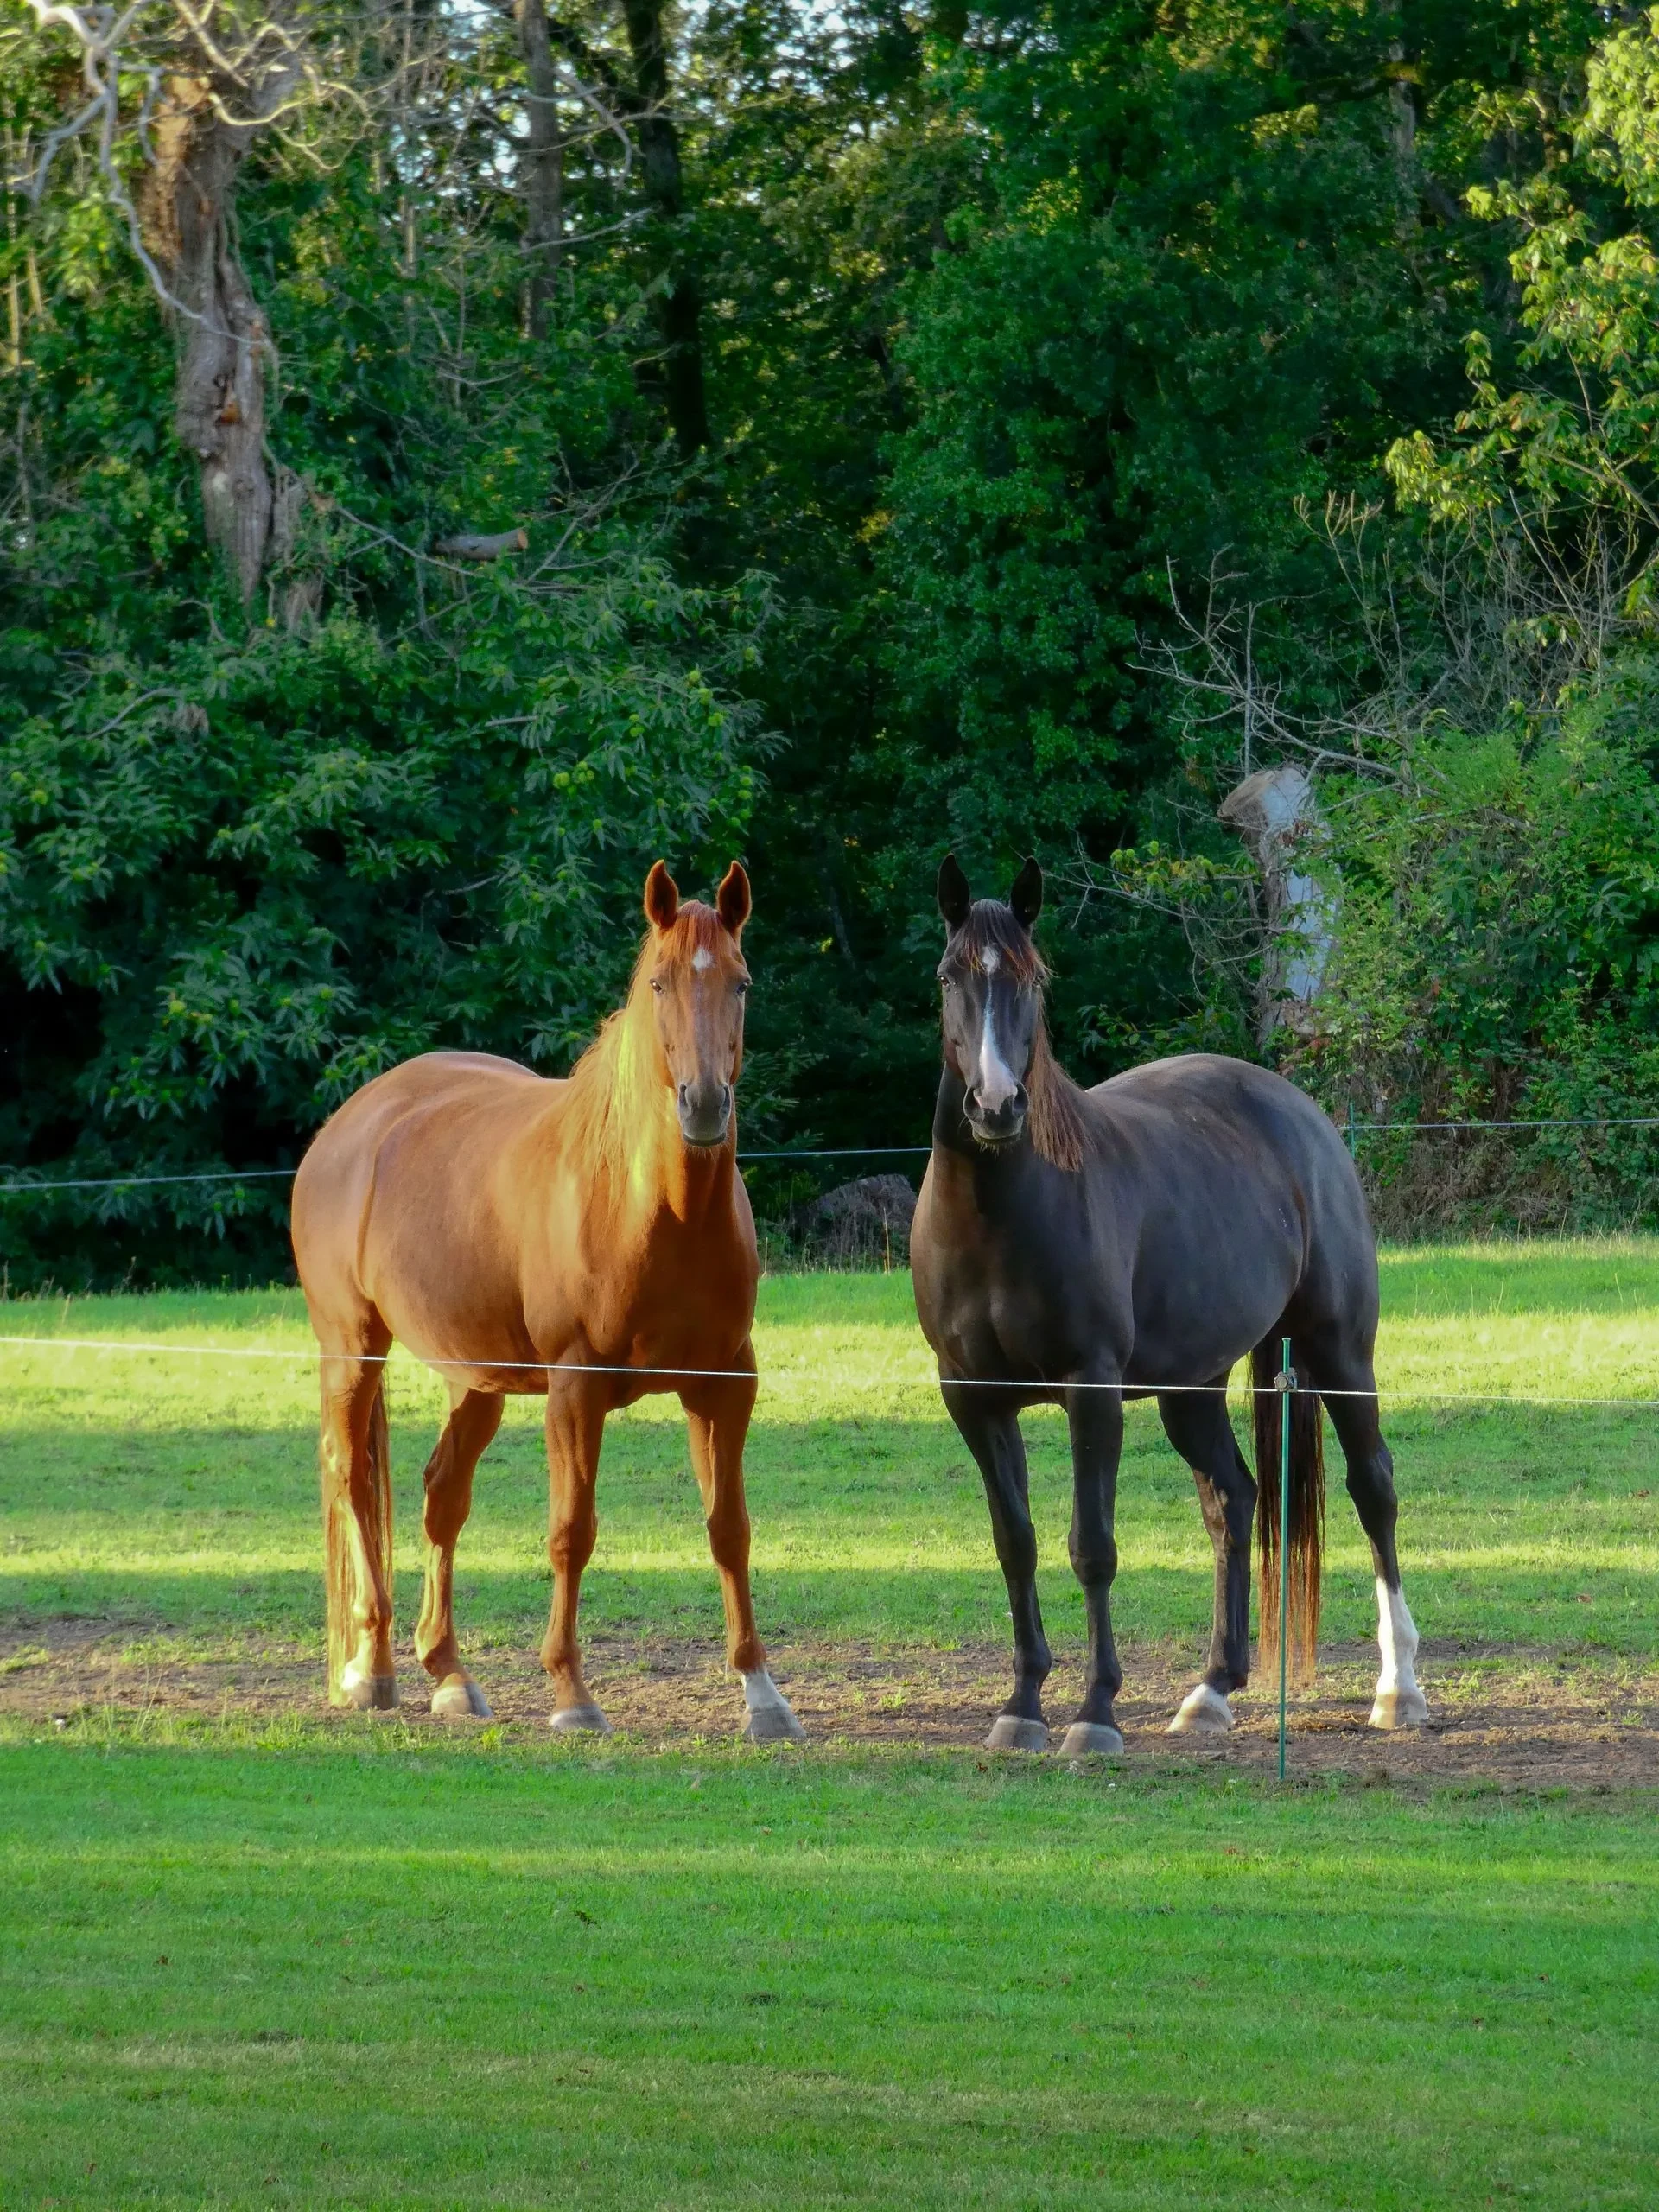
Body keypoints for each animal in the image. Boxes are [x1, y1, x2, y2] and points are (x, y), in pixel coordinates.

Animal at [289, 859, 804, 1743]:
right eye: (660, 982)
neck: (648, 1209)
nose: (703, 1106)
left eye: (741, 982)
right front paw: (572, 1693)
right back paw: (370, 1668)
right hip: (352, 1349)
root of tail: (350, 1127)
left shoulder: (725, 1385)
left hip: (476, 1378)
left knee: (441, 1497)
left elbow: (729, 1531)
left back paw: (450, 1675)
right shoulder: (575, 1389)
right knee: (351, 1481)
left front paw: (762, 1694)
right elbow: (572, 1531)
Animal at [909, 853, 1429, 1755]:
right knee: (1235, 1502)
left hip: (1338, 1350)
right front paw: (1022, 1705)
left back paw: (1399, 1688)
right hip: (1192, 1388)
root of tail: (1302, 1115)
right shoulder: (974, 1400)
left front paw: (1095, 1712)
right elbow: (1017, 1544)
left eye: (1033, 978)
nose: (996, 1107)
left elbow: (1092, 1546)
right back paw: (1212, 1690)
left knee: (1374, 1489)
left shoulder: (1091, 1391)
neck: (996, 1216)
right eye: (949, 976)